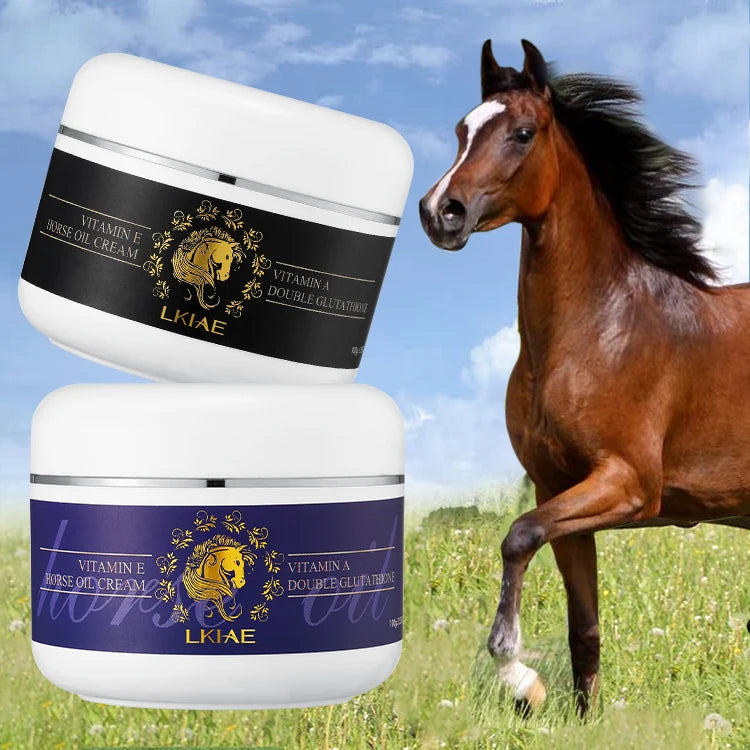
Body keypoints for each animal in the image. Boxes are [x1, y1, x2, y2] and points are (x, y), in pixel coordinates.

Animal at [419, 38, 750, 717]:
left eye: (523, 133)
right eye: (462, 129)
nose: (440, 212)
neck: (600, 330)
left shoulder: (627, 484)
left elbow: (516, 538)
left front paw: (517, 673)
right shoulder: (560, 491)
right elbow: (584, 626)